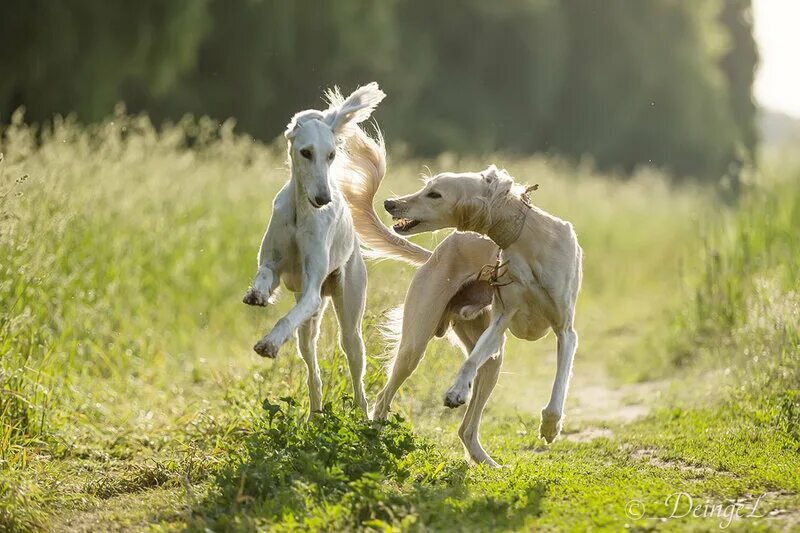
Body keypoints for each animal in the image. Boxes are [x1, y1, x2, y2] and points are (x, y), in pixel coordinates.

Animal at [241, 83, 384, 416]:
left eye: (331, 155)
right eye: (306, 152)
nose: (324, 199)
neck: (299, 212)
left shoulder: (311, 292)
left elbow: (285, 318)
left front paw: (269, 343)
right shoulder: (275, 266)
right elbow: (264, 274)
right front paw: (257, 294)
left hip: (350, 324)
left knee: (358, 380)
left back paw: (364, 417)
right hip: (308, 332)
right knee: (313, 373)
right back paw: (315, 416)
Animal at [342, 137, 580, 466]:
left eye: (435, 193)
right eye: (426, 186)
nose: (390, 203)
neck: (528, 239)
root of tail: (434, 255)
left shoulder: (565, 331)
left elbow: (560, 384)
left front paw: (550, 426)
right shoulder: (502, 318)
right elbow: (469, 361)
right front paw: (456, 390)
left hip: (493, 358)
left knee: (466, 428)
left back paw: (488, 463)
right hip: (416, 345)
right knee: (384, 397)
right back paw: (374, 440)